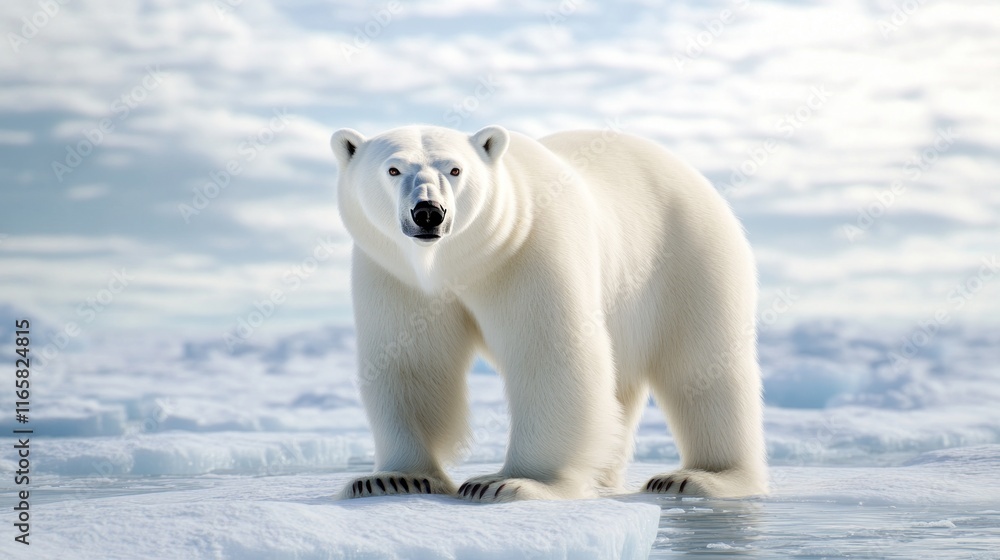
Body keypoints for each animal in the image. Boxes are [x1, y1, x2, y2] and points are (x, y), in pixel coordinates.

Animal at [329, 123, 768, 502]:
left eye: (455, 169)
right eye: (393, 168)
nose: (428, 212)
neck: (460, 264)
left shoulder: (529, 251)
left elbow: (551, 356)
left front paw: (510, 482)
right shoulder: (395, 275)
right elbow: (411, 363)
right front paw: (392, 479)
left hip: (686, 252)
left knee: (702, 366)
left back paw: (699, 477)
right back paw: (604, 478)